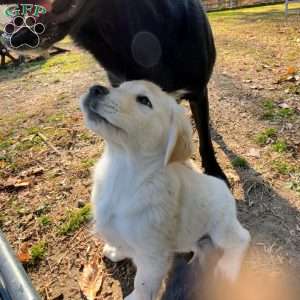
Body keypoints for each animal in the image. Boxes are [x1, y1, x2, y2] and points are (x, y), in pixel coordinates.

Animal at [80, 80, 251, 300]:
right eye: (119, 86)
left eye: (144, 100)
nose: (95, 89)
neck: (123, 170)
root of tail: (223, 187)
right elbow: (123, 243)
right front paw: (116, 251)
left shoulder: (153, 256)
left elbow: (143, 283)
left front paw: (136, 297)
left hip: (221, 228)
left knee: (242, 238)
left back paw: (228, 269)